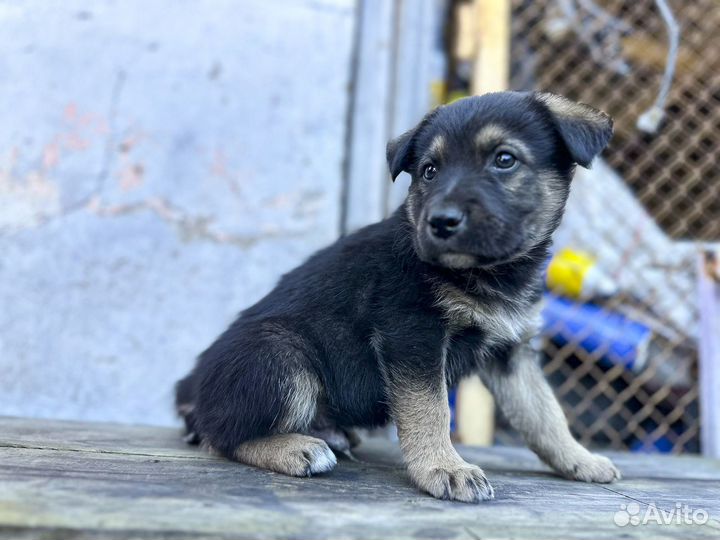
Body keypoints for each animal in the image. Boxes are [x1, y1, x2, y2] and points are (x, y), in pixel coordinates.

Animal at [174, 89, 620, 502]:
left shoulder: (512, 351)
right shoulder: (412, 335)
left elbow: (544, 413)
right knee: (220, 435)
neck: (487, 273)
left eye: (504, 159)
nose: (441, 222)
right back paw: (297, 447)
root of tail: (191, 387)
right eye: (429, 171)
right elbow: (431, 409)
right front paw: (444, 468)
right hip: (279, 353)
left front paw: (579, 459)